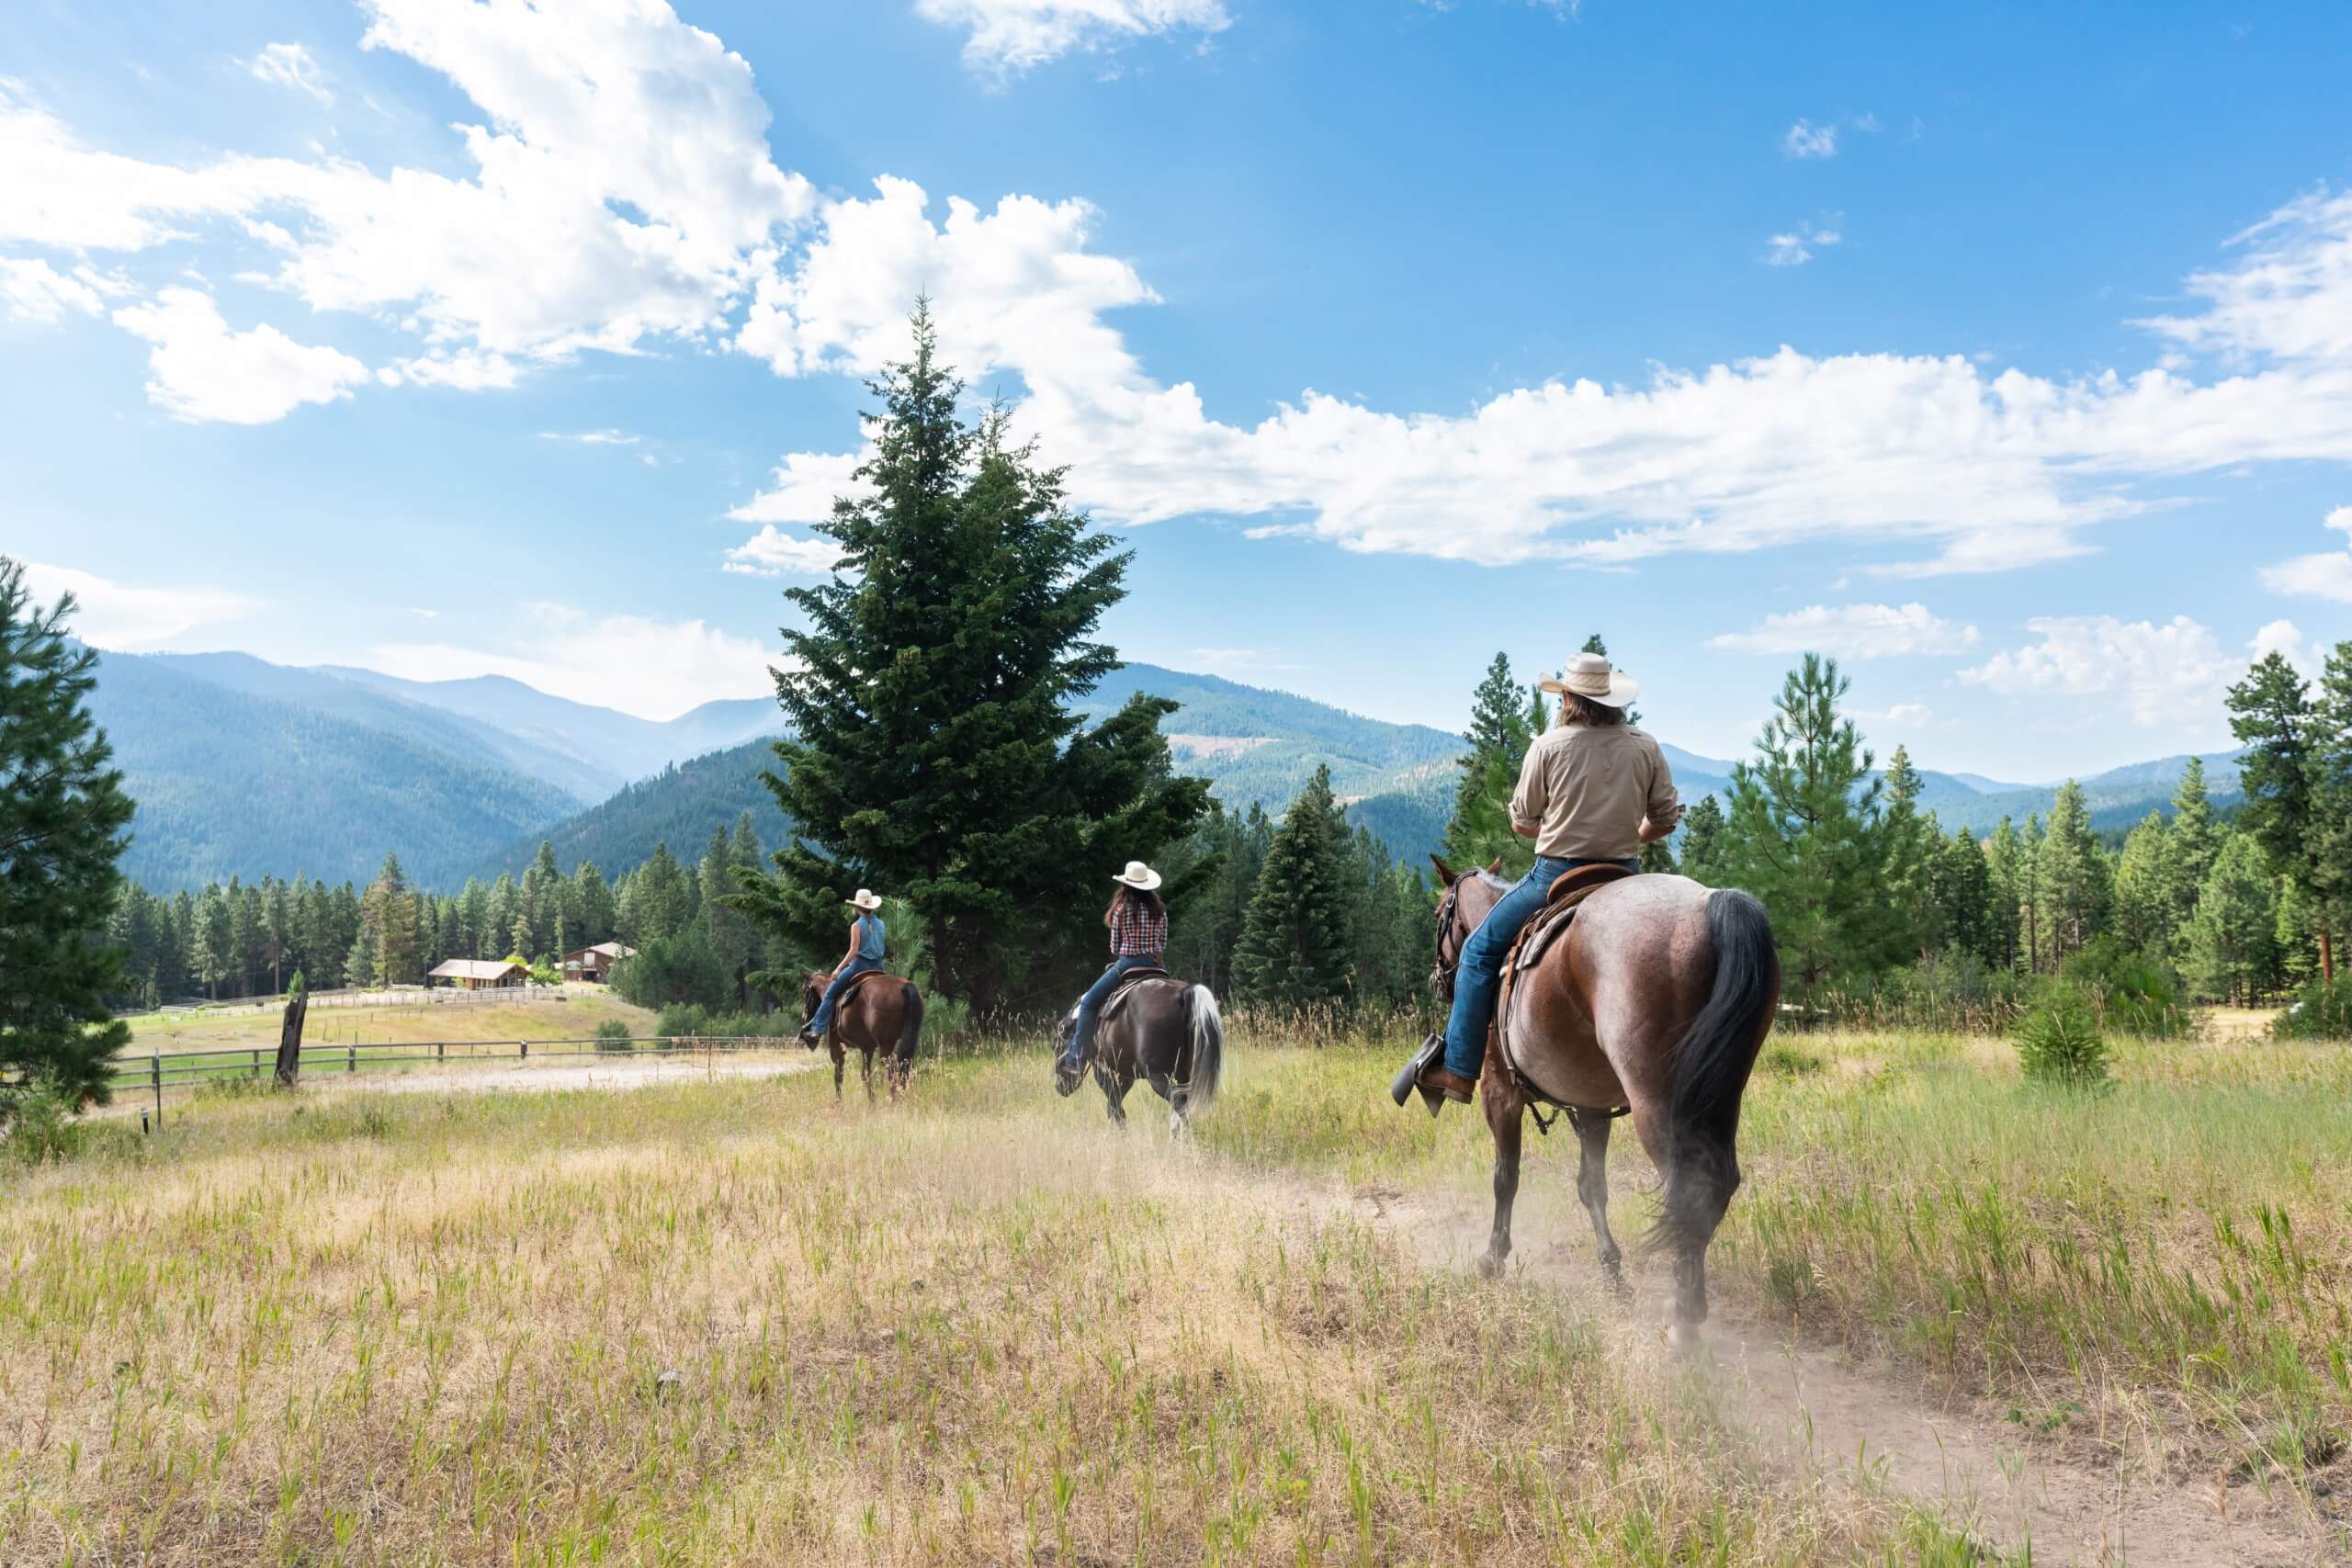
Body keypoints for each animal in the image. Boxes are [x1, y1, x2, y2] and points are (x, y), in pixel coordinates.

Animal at [799, 968, 926, 1104]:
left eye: (804, 990)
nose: (804, 1015)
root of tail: (905, 986)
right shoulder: (867, 1048)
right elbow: (865, 1075)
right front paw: (872, 1101)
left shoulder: (836, 1045)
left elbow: (838, 1075)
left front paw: (838, 1103)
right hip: (907, 1041)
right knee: (904, 1069)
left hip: (885, 1047)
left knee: (892, 1072)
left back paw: (894, 1102)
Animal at [1053, 973, 1232, 1133]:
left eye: (1056, 1046)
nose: (1059, 1087)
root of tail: (1182, 994)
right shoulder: (1126, 1074)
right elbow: (1115, 1105)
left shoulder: (1101, 1068)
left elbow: (1114, 1105)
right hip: (1184, 1074)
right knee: (1182, 1102)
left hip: (1157, 1076)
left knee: (1177, 1101)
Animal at [1411, 860, 1778, 1354]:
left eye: (1439, 915)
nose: (1438, 980)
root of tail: (1710, 905)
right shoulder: (1590, 1107)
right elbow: (1593, 1187)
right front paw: (1613, 1275)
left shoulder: (1500, 1092)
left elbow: (1506, 1178)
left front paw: (1493, 1257)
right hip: (1720, 1095)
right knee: (1717, 1184)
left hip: (1656, 1101)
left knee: (1691, 1188)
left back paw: (1684, 1319)